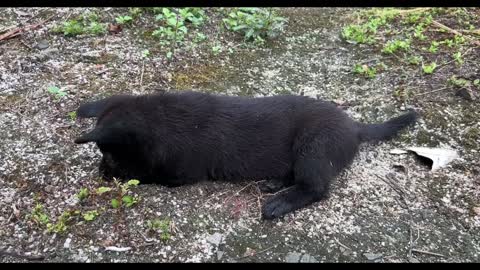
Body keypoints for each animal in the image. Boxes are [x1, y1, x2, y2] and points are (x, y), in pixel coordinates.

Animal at [75, 90, 416, 219]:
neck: (161, 120)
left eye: (111, 157)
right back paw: (275, 183)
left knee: (317, 188)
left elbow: (146, 177)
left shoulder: (178, 174)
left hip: (313, 148)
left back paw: (279, 202)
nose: (100, 173)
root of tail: (355, 128)